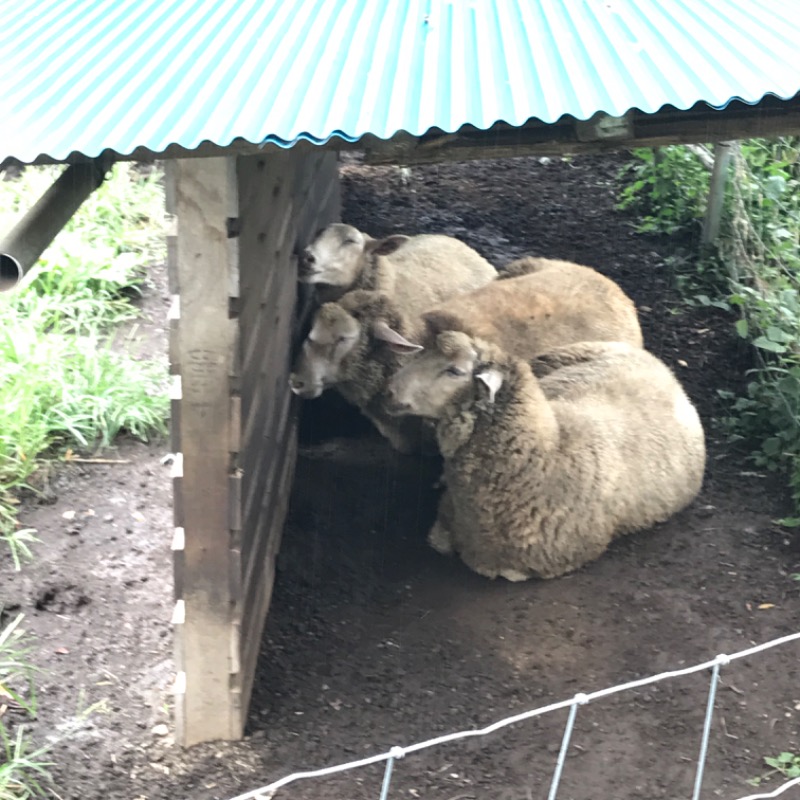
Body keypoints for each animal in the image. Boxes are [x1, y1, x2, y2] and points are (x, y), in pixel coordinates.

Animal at [388, 334, 708, 584]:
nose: (389, 391)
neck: (548, 454)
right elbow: (439, 539)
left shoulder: (528, 565)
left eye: (454, 371)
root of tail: (666, 371)